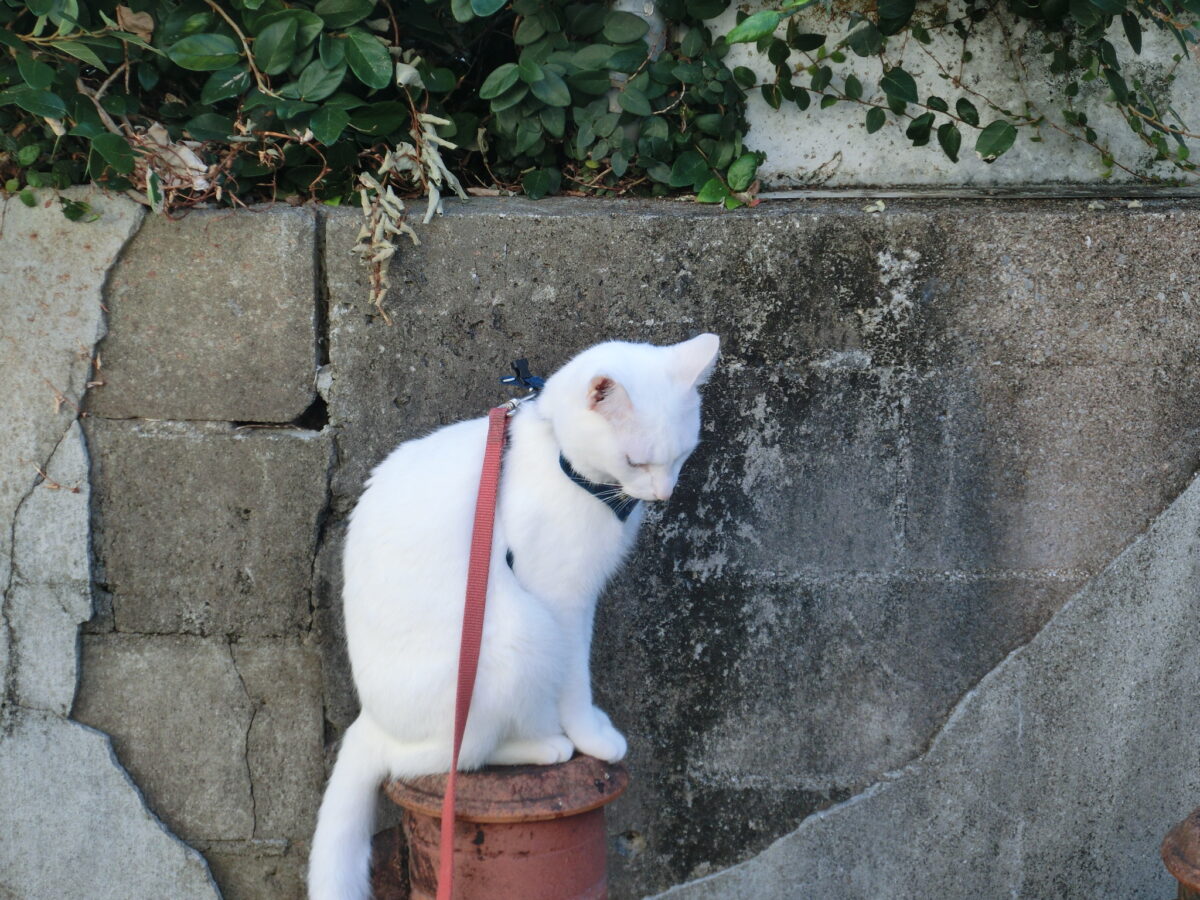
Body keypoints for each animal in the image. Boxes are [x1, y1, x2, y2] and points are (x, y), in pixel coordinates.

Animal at [309, 336, 720, 897]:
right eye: (635, 461)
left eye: (681, 455)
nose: (663, 494)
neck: (562, 460)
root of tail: (367, 722)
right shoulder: (561, 597)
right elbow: (573, 679)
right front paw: (590, 737)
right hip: (518, 633)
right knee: (444, 758)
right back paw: (545, 745)